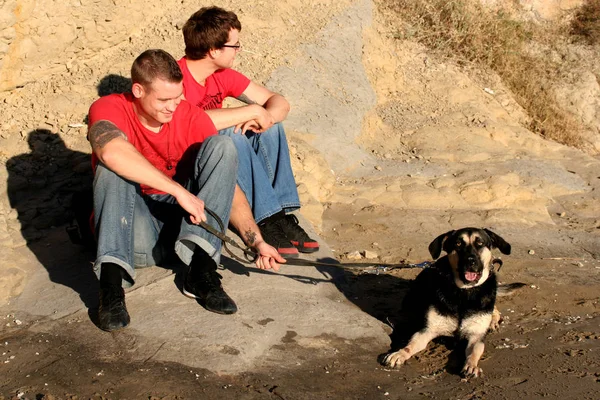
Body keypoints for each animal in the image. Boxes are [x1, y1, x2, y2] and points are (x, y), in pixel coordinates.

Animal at [382, 228, 512, 378]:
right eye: (458, 244)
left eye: (480, 243)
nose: (470, 260)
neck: (464, 293)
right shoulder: (427, 330)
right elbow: (411, 344)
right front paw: (399, 353)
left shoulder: (476, 336)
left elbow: (475, 352)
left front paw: (472, 366)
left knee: (495, 309)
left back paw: (493, 321)